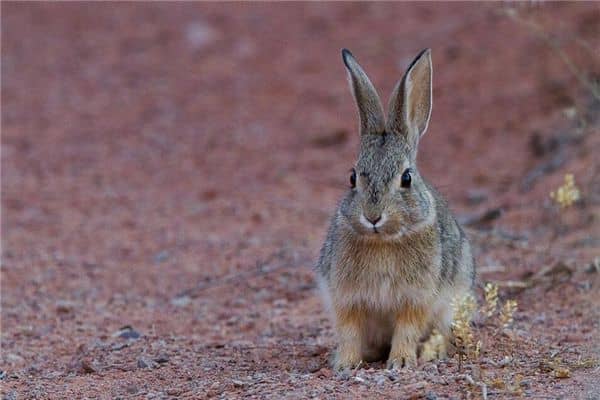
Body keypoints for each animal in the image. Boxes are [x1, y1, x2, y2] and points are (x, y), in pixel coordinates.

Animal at [316, 48, 476, 370]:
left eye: (407, 178)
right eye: (352, 177)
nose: (373, 217)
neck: (383, 241)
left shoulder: (416, 299)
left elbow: (407, 329)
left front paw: (401, 361)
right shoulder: (346, 298)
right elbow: (349, 331)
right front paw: (346, 364)